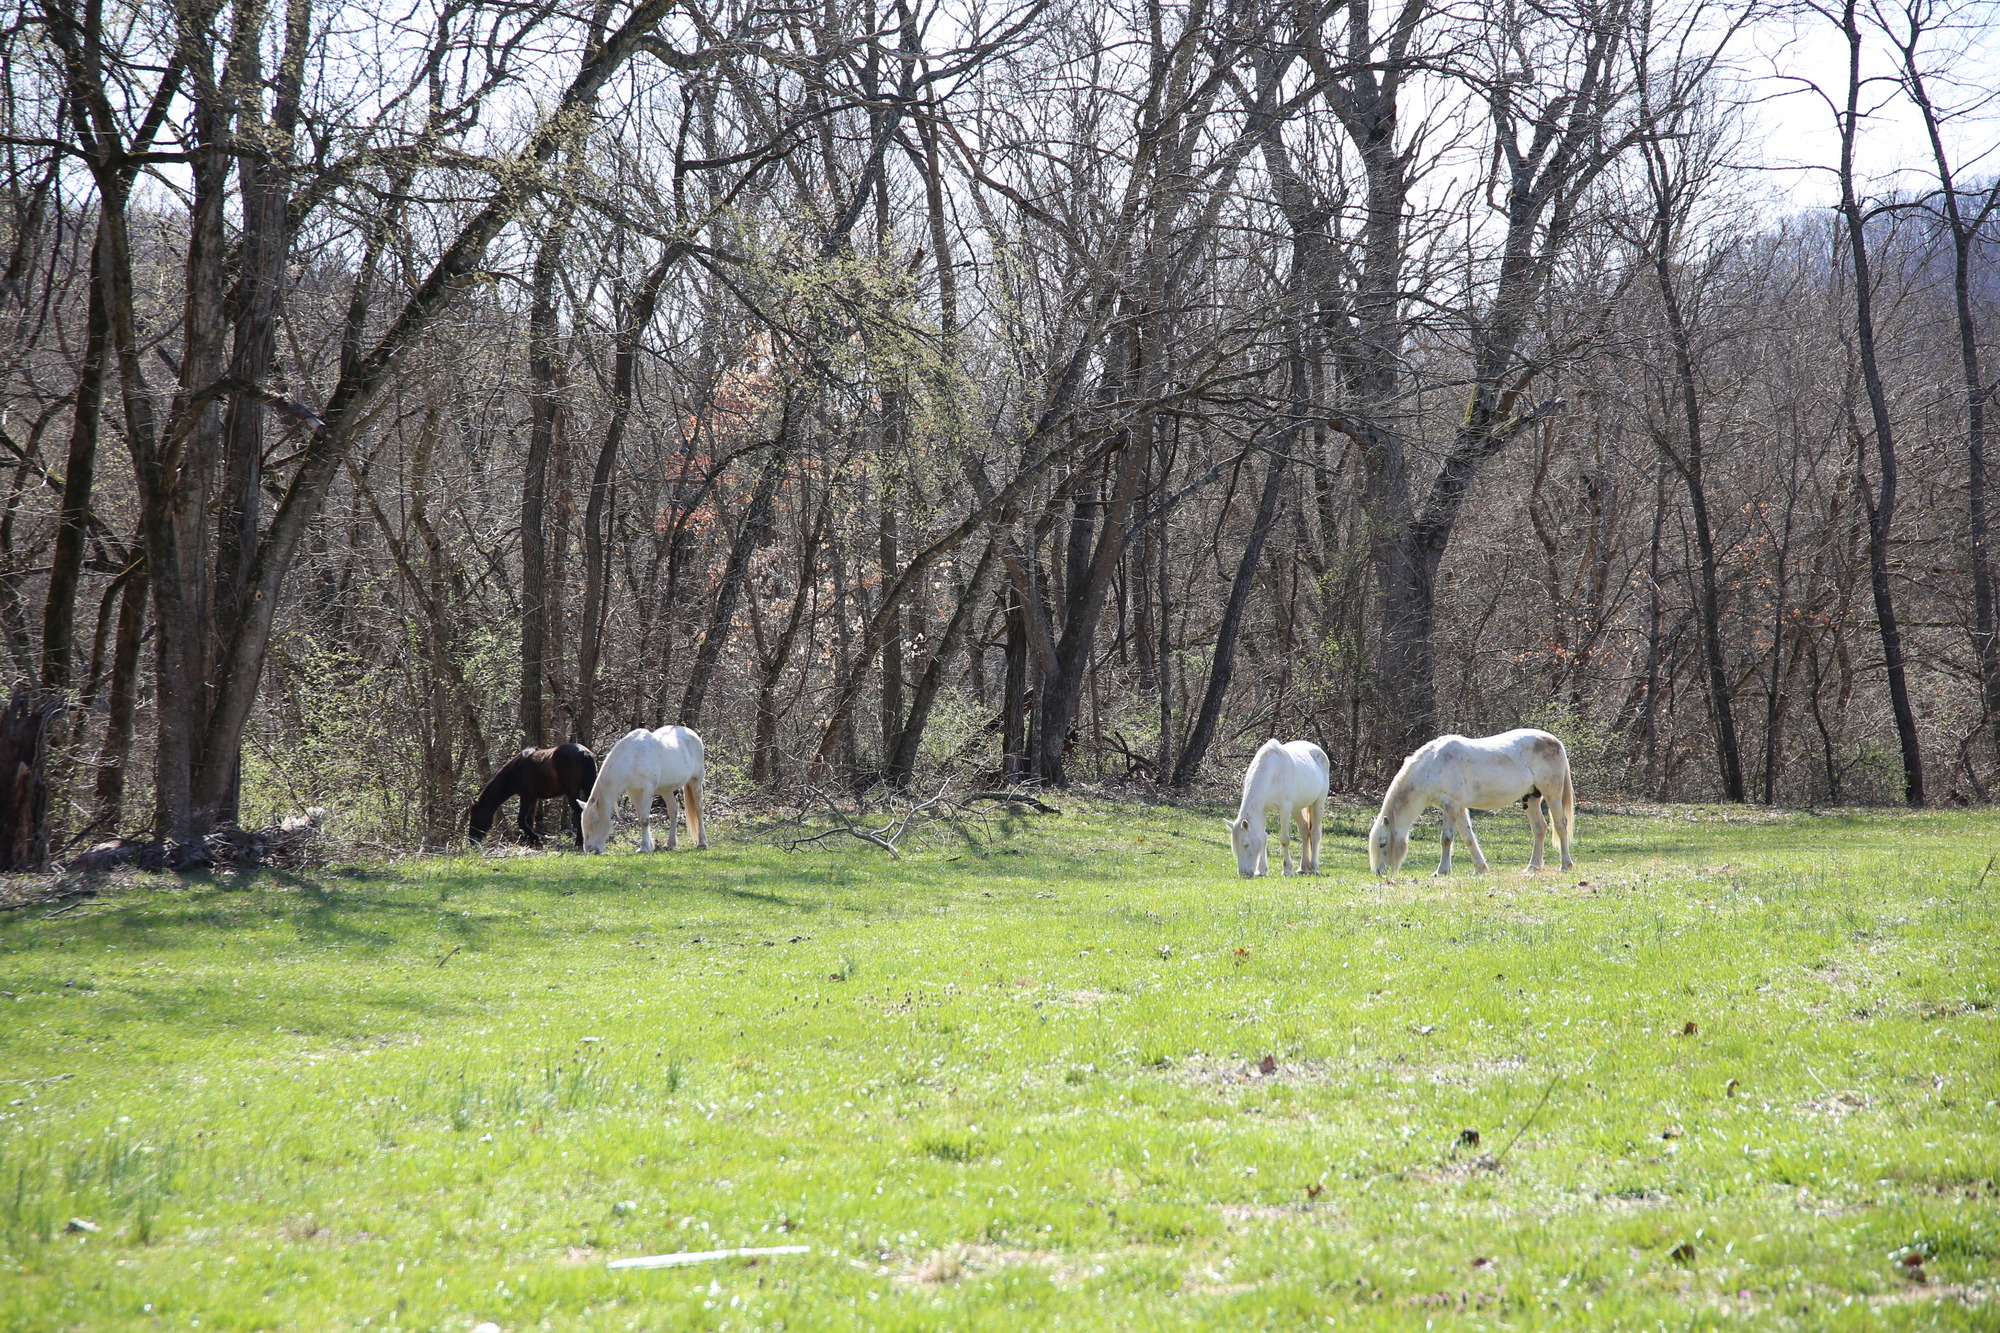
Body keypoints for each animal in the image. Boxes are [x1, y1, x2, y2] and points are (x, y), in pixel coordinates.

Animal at [468, 743, 597, 847]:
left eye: (476, 816)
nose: (472, 840)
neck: (515, 770)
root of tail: (584, 752)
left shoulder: (526, 796)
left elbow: (521, 820)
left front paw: (534, 837)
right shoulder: (533, 798)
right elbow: (529, 820)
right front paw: (531, 841)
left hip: (571, 793)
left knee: (579, 813)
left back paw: (579, 842)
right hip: (588, 788)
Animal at [578, 724, 708, 854]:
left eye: (595, 822)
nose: (590, 850)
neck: (632, 759)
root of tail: (693, 734)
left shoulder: (647, 791)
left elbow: (645, 819)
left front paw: (644, 847)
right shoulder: (633, 793)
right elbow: (640, 818)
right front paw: (648, 846)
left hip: (696, 780)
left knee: (698, 809)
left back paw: (702, 842)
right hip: (666, 790)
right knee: (673, 811)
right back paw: (670, 843)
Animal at [1226, 739, 1331, 877]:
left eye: (1246, 845)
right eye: (1235, 847)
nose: (1244, 873)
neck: (1272, 773)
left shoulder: (1285, 809)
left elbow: (1284, 839)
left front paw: (1287, 870)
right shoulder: (1262, 809)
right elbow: (1263, 837)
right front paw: (1262, 870)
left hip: (1318, 802)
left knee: (1315, 833)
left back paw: (1313, 867)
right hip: (1296, 809)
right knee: (1304, 832)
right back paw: (1303, 867)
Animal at [1368, 728, 1574, 877]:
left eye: (1383, 844)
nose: (1379, 873)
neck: (1432, 766)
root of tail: (1555, 742)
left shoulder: (1450, 806)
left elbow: (1446, 839)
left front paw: (1441, 871)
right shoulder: (1458, 808)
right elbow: (1468, 838)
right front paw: (1480, 868)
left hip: (1552, 794)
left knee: (1560, 825)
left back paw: (1565, 865)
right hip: (1530, 797)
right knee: (1539, 828)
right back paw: (1533, 866)